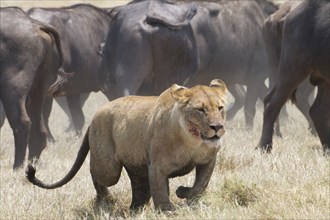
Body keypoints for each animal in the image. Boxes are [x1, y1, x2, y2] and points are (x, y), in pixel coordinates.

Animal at [0, 6, 67, 168]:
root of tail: (36, 25)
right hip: (39, 90)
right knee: (39, 131)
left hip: (13, 89)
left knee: (22, 123)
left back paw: (16, 167)